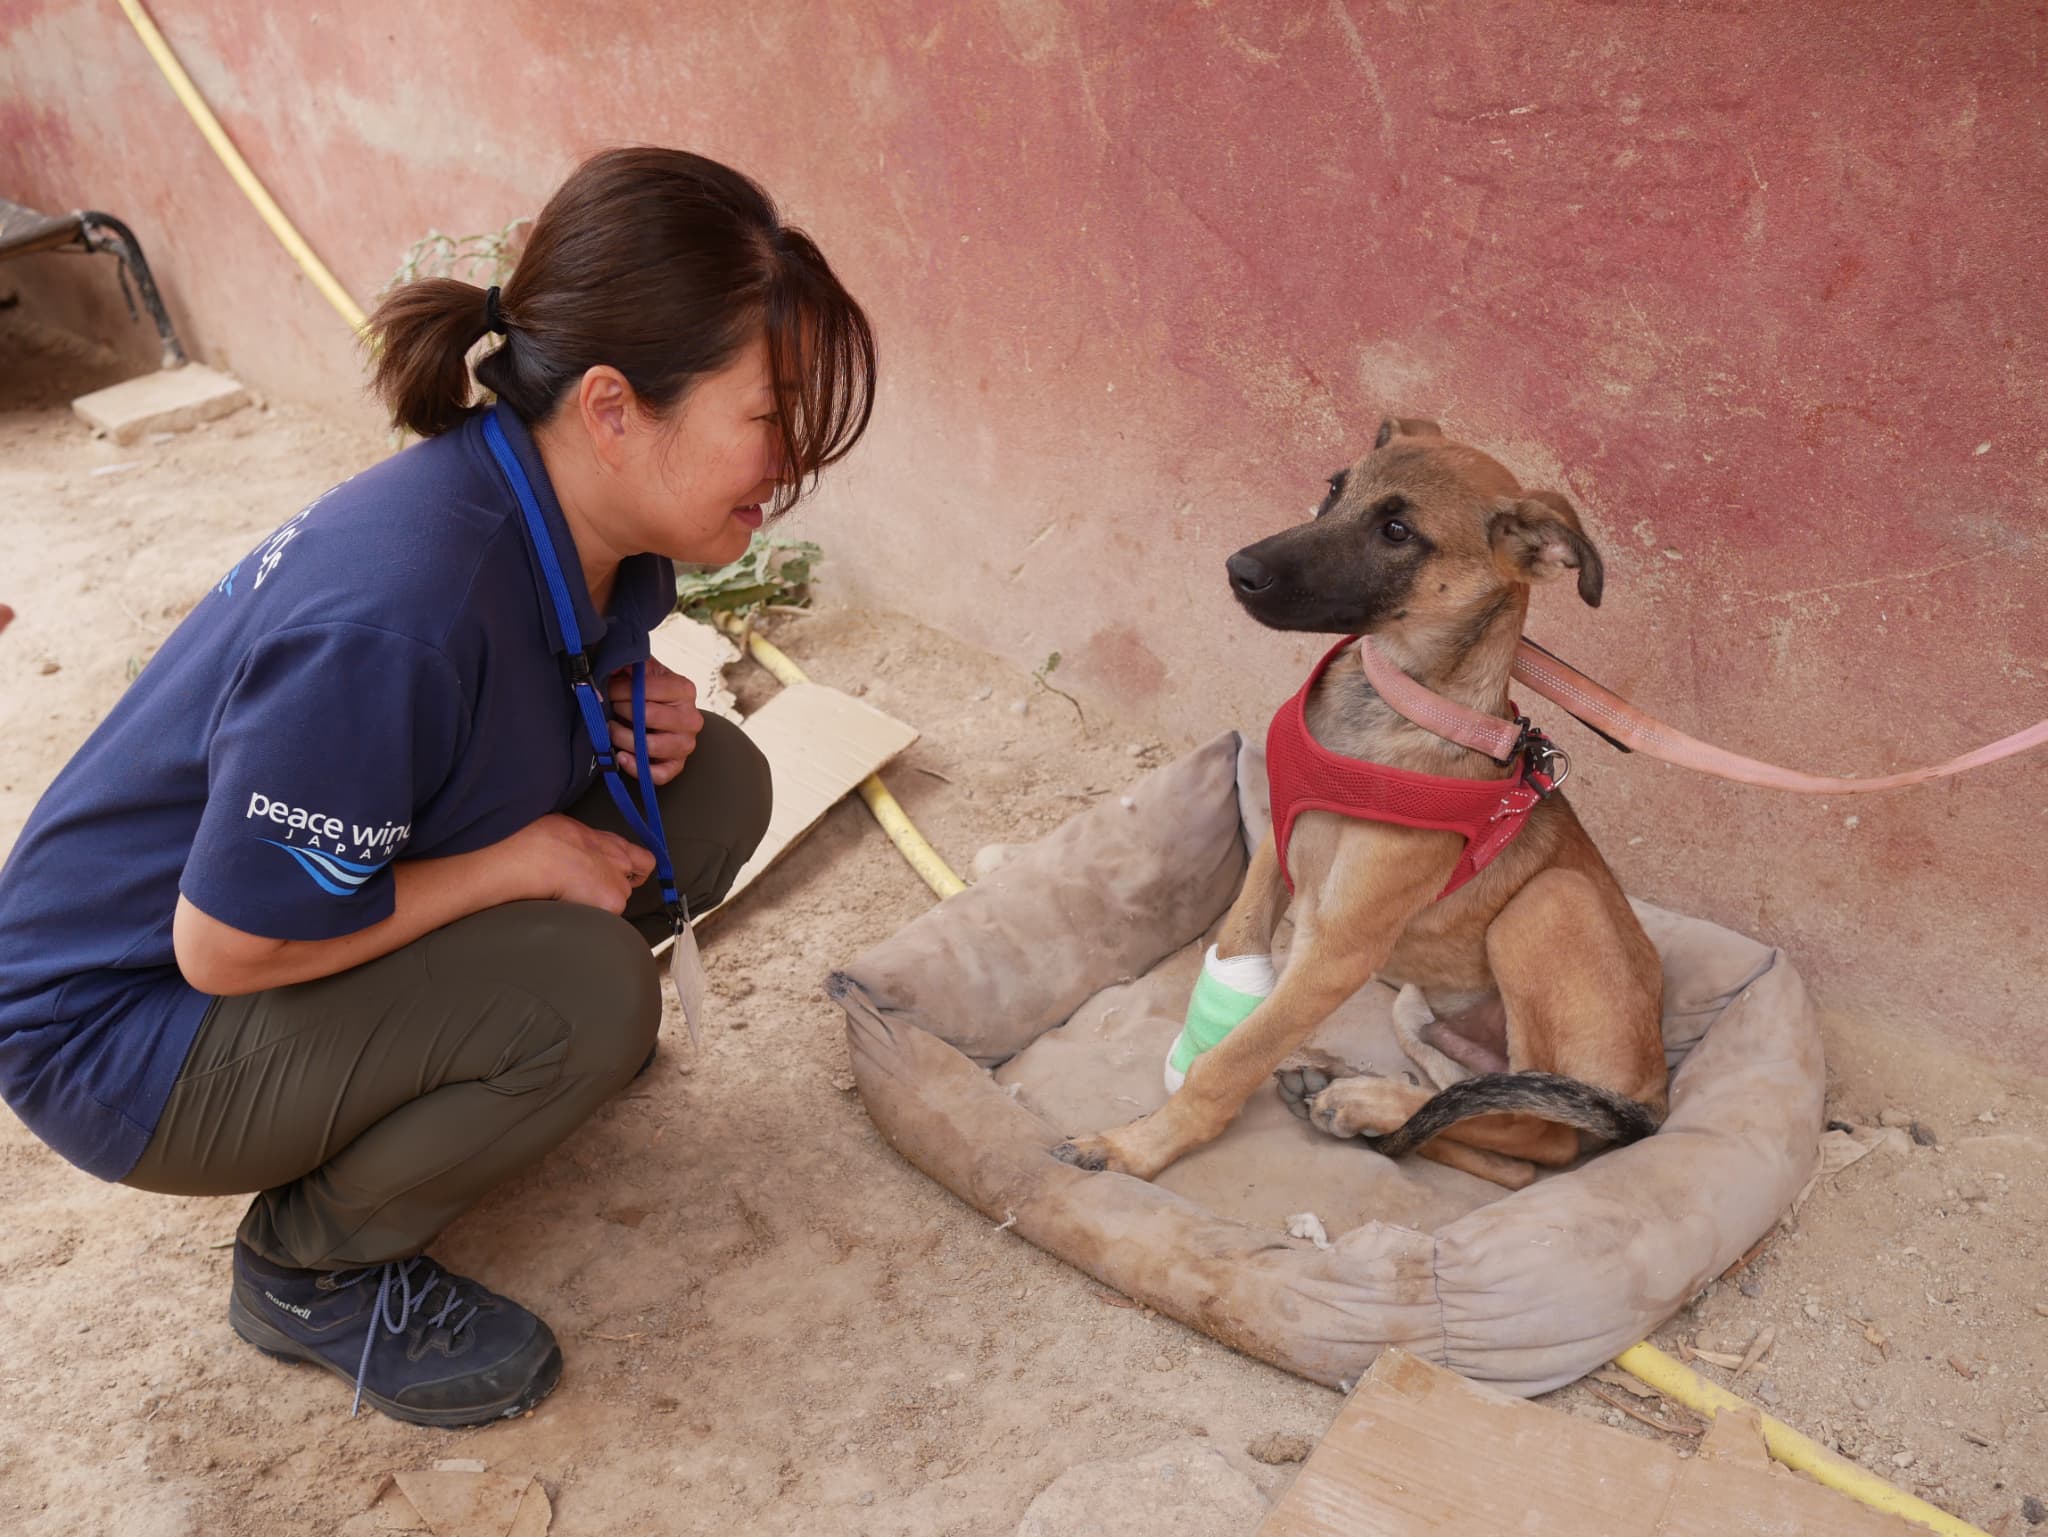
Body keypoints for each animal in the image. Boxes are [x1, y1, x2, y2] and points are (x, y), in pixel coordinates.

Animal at [1056, 418, 1662, 1188]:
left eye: (1397, 530)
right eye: (1333, 491)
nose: (1238, 568)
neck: (1392, 705)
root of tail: (1654, 1091)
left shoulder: (1339, 948)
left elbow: (1232, 1059)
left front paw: (1140, 1145)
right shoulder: (1277, 853)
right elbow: (1236, 957)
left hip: (1551, 903)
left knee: (1537, 1137)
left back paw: (1364, 1101)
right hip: (1431, 1013)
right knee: (1486, 1126)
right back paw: (1351, 1095)